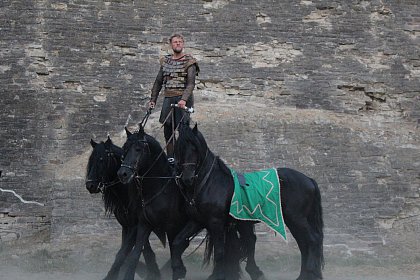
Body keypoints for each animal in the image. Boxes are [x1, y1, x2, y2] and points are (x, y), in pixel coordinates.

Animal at [85, 138, 164, 280]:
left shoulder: (136, 226)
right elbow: (134, 250)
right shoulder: (128, 226)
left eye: (101, 159)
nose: (90, 185)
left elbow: (127, 252)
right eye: (91, 160)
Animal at [174, 124, 324, 280]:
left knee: (313, 240)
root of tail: (309, 180)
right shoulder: (197, 221)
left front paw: (218, 275)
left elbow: (220, 252)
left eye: (195, 148)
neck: (211, 182)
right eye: (180, 148)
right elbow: (177, 242)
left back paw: (310, 272)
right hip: (294, 220)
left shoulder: (216, 223)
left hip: (296, 218)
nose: (187, 178)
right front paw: (178, 270)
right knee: (303, 244)